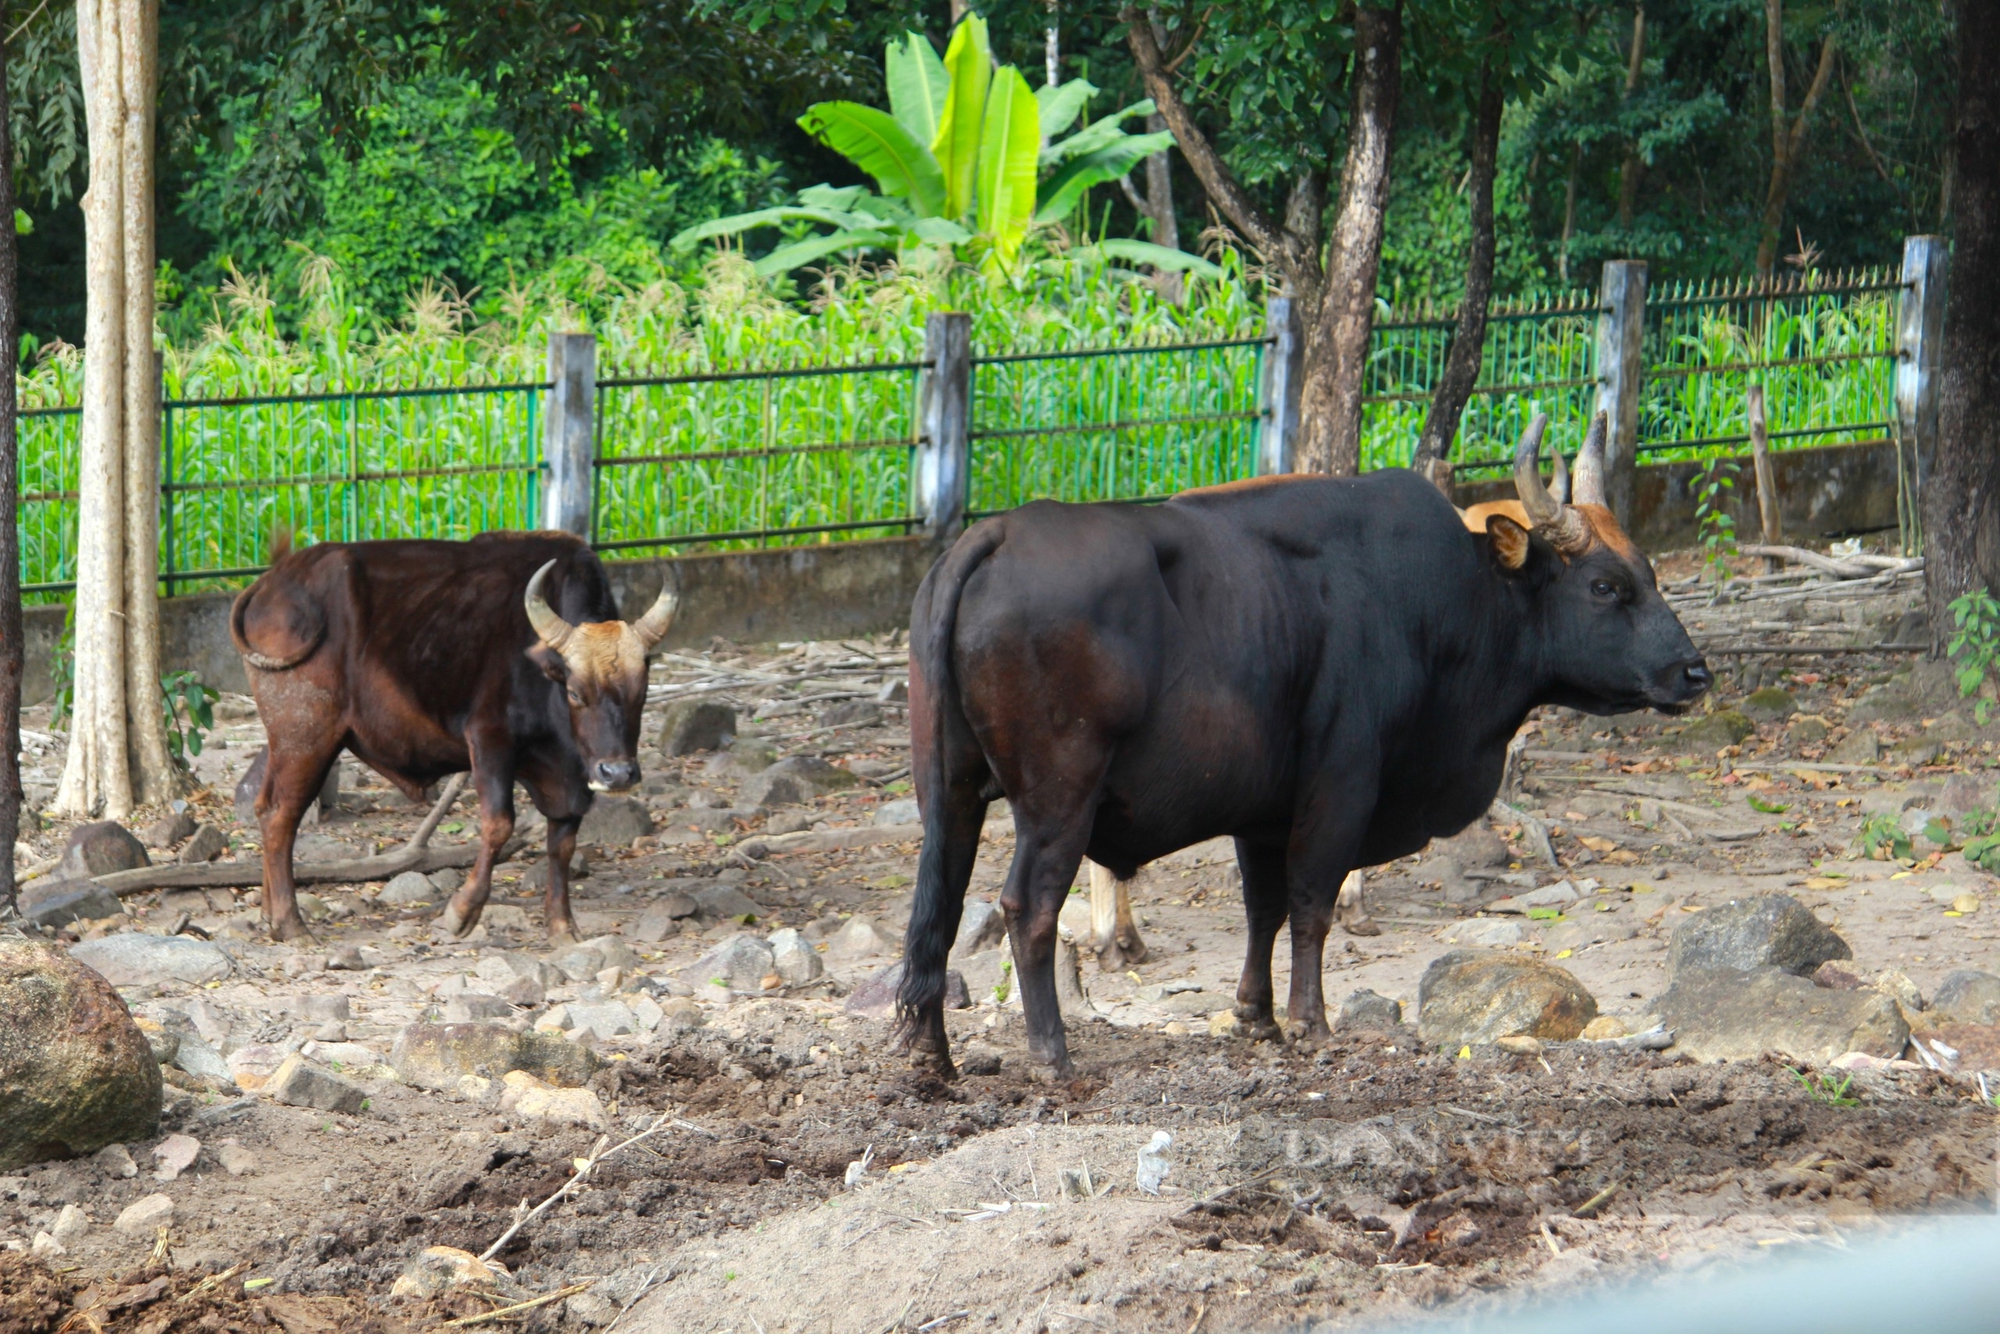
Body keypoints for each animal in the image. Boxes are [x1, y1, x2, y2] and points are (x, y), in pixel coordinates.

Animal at [230, 528, 676, 940]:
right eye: (575, 692)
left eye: (642, 691)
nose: (617, 774)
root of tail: (270, 584)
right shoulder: (489, 740)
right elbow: (499, 824)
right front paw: (461, 912)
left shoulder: (570, 776)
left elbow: (562, 841)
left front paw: (562, 925)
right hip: (307, 735)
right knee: (281, 815)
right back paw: (290, 923)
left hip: (287, 739)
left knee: (264, 805)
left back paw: (270, 915)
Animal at [900, 468, 1712, 1072]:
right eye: (1605, 586)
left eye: (1649, 573)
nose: (1694, 672)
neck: (1434, 595)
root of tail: (997, 533)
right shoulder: (1342, 785)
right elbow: (1313, 903)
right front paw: (1310, 1021)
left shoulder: (1261, 813)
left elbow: (1263, 908)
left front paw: (1254, 1016)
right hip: (1059, 803)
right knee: (1026, 909)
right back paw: (1052, 1054)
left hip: (949, 792)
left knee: (938, 906)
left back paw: (929, 1056)